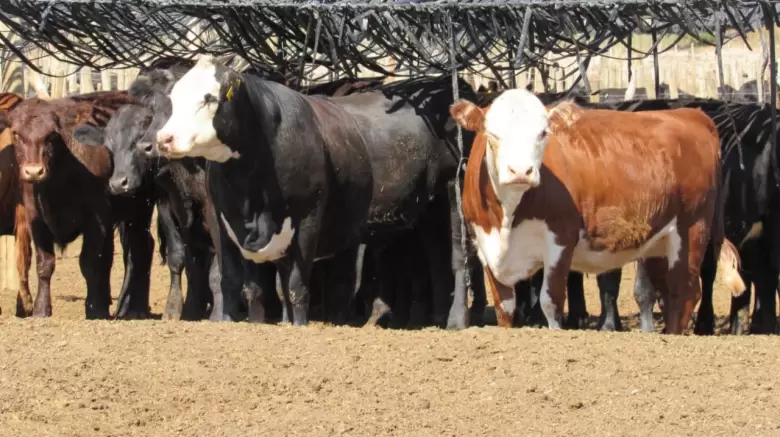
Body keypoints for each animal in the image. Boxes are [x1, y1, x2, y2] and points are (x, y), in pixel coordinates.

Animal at [8, 91, 156, 319]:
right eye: (16, 134)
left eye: (52, 135)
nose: (34, 171)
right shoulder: (35, 220)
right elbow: (44, 264)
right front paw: (41, 309)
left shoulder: (97, 218)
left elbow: (89, 263)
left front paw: (94, 310)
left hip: (139, 211)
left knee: (139, 250)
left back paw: (133, 308)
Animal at [154, 54, 475, 327]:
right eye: (174, 99)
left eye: (209, 98)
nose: (164, 139)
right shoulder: (224, 219)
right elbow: (240, 283)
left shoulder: (308, 218)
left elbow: (295, 286)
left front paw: (298, 326)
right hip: (429, 209)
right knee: (436, 259)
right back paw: (435, 318)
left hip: (455, 191)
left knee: (459, 257)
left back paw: (457, 321)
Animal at [450, 88, 745, 334]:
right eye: (492, 133)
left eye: (543, 133)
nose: (521, 171)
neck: (509, 217)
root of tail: (691, 114)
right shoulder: (485, 245)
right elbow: (504, 307)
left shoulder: (561, 238)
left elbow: (551, 301)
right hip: (659, 241)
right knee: (669, 296)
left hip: (692, 229)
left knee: (685, 291)